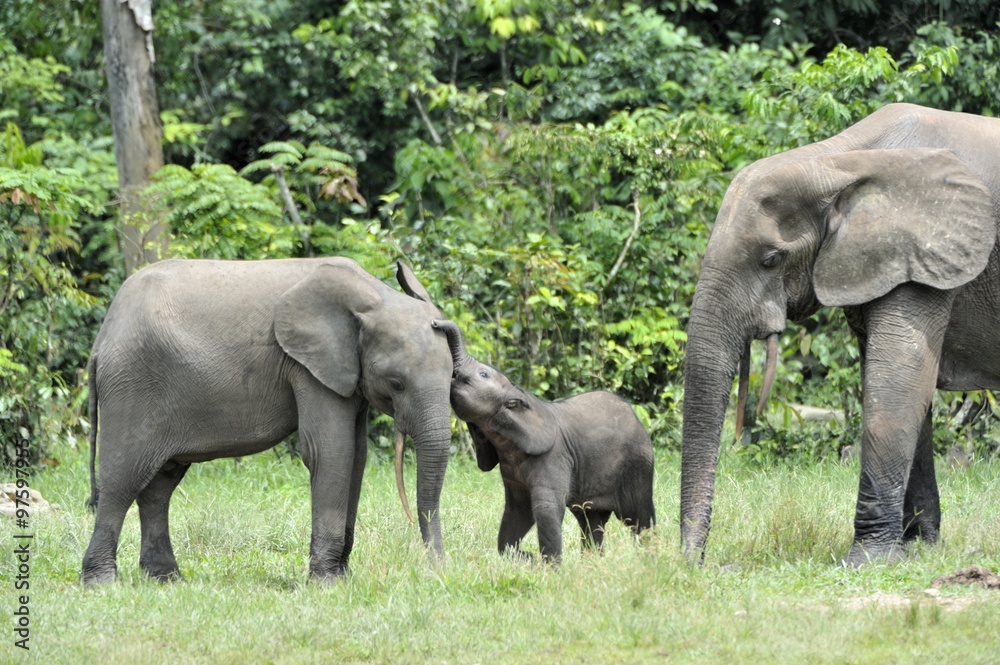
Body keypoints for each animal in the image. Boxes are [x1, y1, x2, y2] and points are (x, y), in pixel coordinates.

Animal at [80, 256, 456, 584]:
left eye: (453, 377)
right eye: (396, 383)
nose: (438, 571)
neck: (374, 295)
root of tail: (101, 341)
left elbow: (357, 458)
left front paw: (342, 578)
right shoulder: (307, 367)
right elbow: (330, 452)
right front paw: (327, 584)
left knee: (159, 486)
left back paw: (167, 580)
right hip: (132, 385)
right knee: (122, 480)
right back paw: (101, 583)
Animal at [432, 320, 656, 556]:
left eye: (483, 374)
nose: (436, 323)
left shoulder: (554, 457)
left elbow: (546, 511)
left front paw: (547, 564)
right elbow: (518, 512)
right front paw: (526, 557)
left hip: (637, 466)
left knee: (639, 518)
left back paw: (650, 556)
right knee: (591, 520)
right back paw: (594, 560)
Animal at [680, 102, 1000, 564]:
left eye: (771, 260)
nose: (697, 565)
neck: (836, 161)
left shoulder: (923, 253)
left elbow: (897, 382)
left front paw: (866, 561)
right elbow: (902, 389)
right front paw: (917, 550)